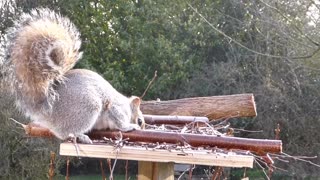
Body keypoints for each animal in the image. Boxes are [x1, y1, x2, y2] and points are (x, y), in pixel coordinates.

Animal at [1, 8, 145, 144]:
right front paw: (129, 126)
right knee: (67, 132)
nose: (140, 126)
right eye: (139, 120)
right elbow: (119, 121)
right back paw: (82, 136)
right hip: (87, 107)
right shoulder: (117, 108)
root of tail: (47, 110)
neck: (127, 106)